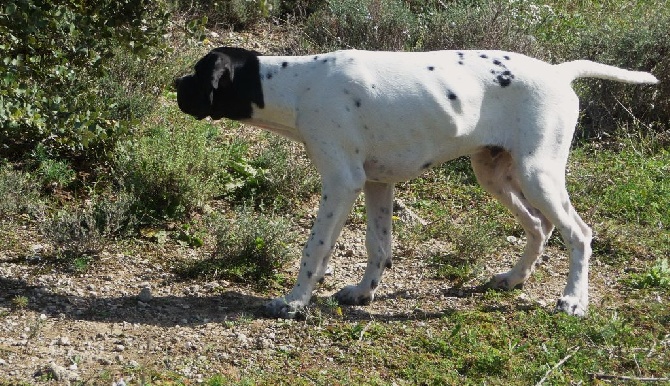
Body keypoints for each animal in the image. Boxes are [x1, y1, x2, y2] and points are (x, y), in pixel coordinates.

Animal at [175, 46, 660, 318]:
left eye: (198, 73)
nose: (175, 83)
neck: (296, 86)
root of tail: (560, 73)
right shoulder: (375, 183)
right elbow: (379, 246)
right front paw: (363, 292)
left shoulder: (342, 182)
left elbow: (315, 250)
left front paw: (294, 301)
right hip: (494, 174)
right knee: (539, 227)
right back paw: (512, 278)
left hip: (537, 174)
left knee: (578, 234)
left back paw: (574, 300)